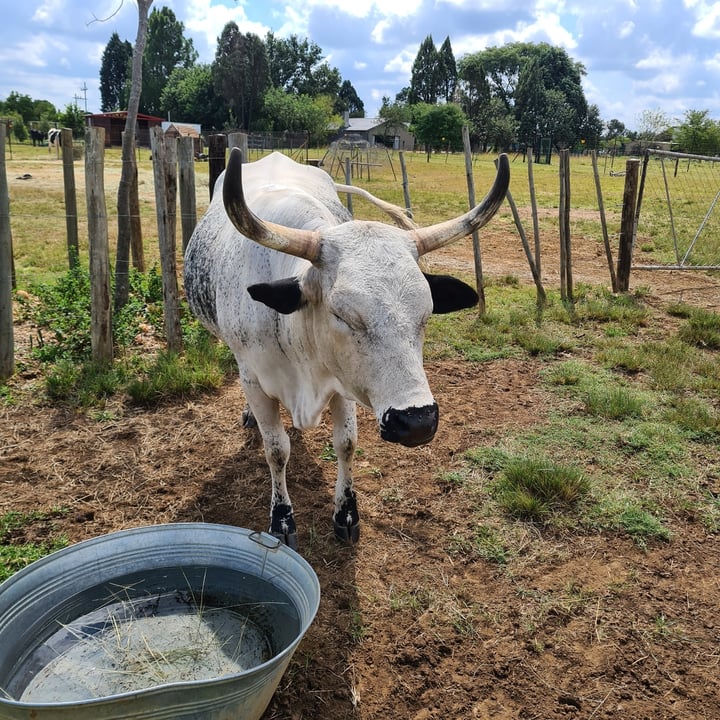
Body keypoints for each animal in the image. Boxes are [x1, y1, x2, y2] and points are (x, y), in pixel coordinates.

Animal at [186, 150, 512, 544]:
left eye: (426, 314)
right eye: (342, 315)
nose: (417, 422)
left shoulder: (343, 382)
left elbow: (346, 443)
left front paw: (346, 512)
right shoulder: (254, 380)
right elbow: (277, 450)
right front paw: (282, 519)